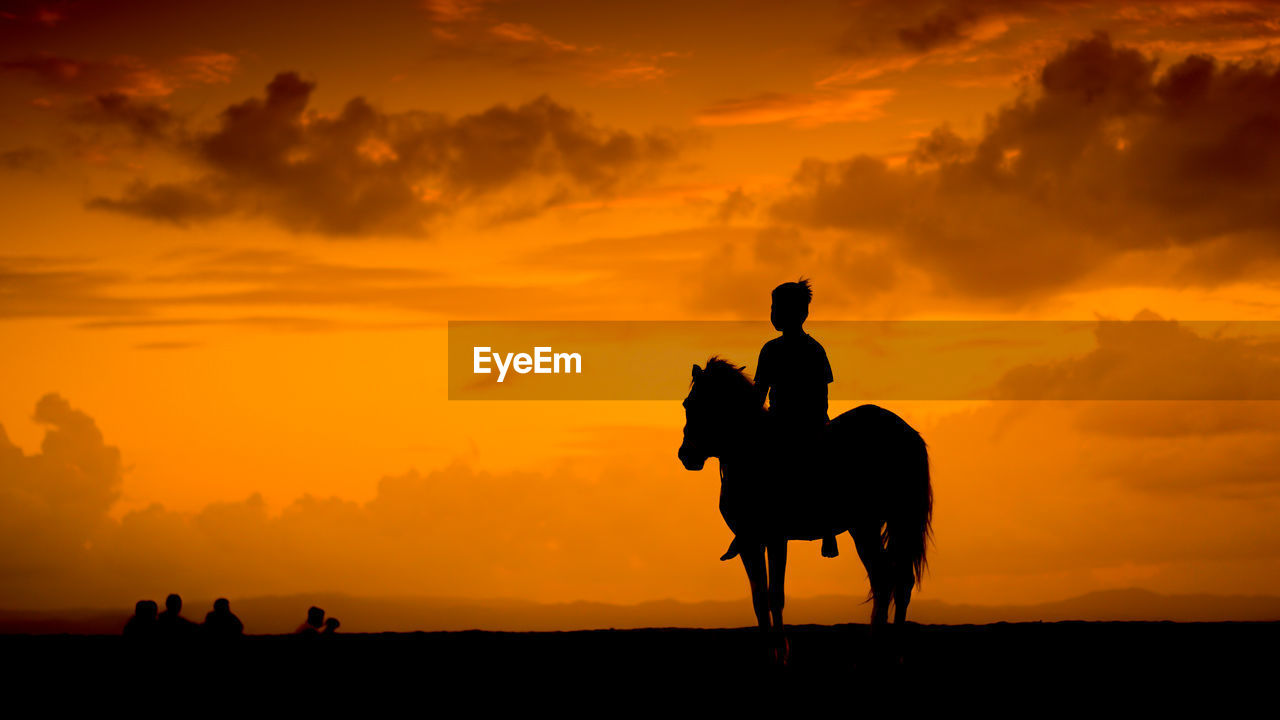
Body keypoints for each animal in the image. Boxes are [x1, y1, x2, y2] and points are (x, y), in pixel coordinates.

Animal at [675, 356, 936, 661]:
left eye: (707, 404)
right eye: (688, 404)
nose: (686, 455)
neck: (752, 453)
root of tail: (907, 434)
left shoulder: (774, 539)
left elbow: (774, 595)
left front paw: (779, 652)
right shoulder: (751, 542)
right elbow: (759, 597)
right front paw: (769, 651)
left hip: (880, 524)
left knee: (890, 580)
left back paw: (881, 649)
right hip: (878, 525)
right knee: (893, 580)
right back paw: (886, 649)